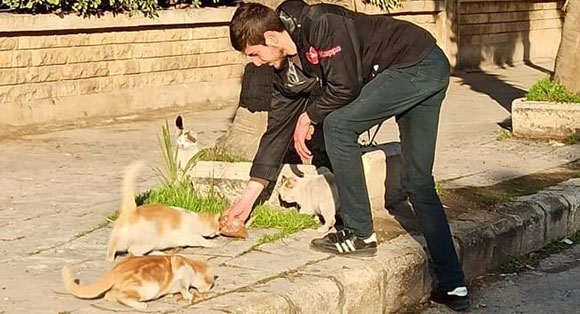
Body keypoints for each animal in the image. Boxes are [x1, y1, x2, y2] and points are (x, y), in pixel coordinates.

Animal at [61, 255, 215, 310]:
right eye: (211, 284)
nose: (209, 289)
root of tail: (115, 269)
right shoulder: (179, 265)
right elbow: (184, 287)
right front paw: (188, 295)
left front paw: (169, 295)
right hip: (149, 287)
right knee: (121, 296)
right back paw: (141, 305)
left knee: (109, 295)